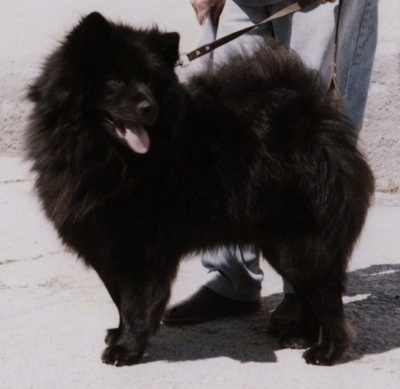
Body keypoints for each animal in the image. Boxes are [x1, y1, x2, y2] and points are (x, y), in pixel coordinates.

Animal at [26, 11, 374, 364]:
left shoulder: (140, 249)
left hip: (300, 243)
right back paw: (301, 335)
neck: (104, 154)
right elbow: (119, 301)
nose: (148, 108)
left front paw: (127, 349)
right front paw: (118, 335)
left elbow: (136, 304)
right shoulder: (106, 245)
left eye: (151, 84)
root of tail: (318, 123)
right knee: (309, 295)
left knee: (326, 298)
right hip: (282, 244)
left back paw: (326, 351)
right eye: (116, 81)